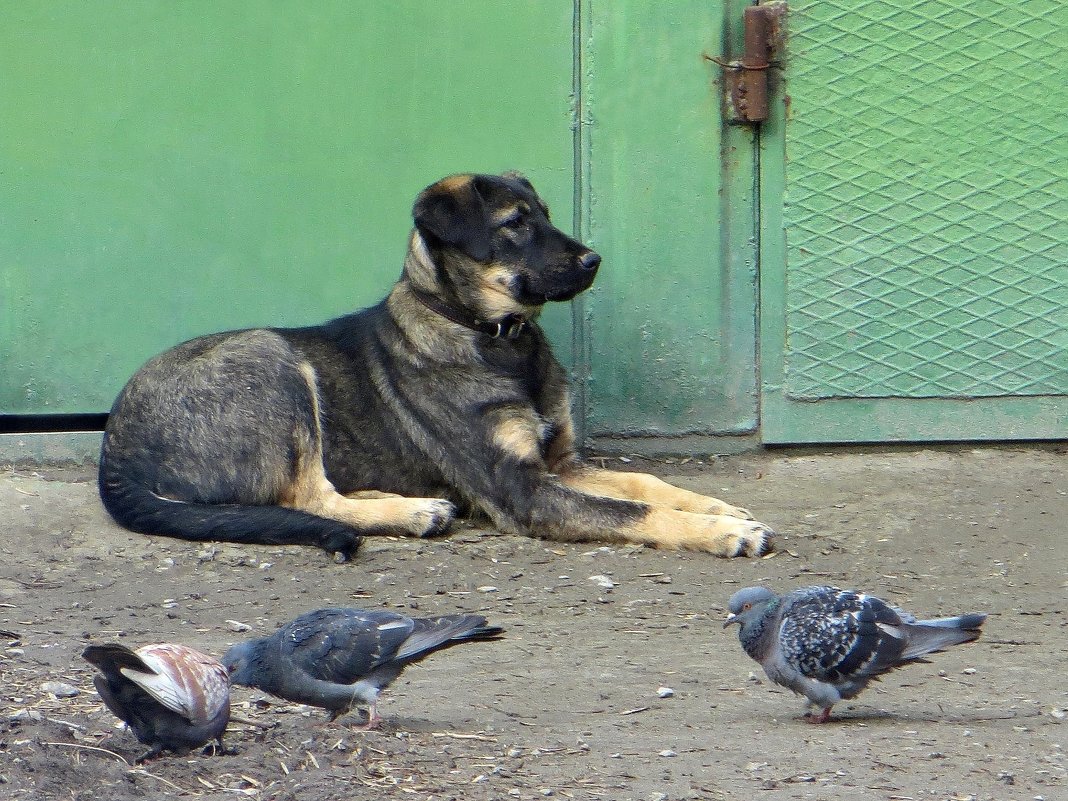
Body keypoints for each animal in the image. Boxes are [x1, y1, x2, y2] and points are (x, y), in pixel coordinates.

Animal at [100, 170, 773, 559]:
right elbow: (634, 510)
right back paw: (413, 510)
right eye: (516, 223)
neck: (494, 336)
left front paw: (716, 507)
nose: (593, 261)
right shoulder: (522, 489)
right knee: (306, 496)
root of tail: (114, 452)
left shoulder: (557, 463)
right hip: (272, 359)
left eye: (547, 214)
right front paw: (722, 533)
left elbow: (645, 483)